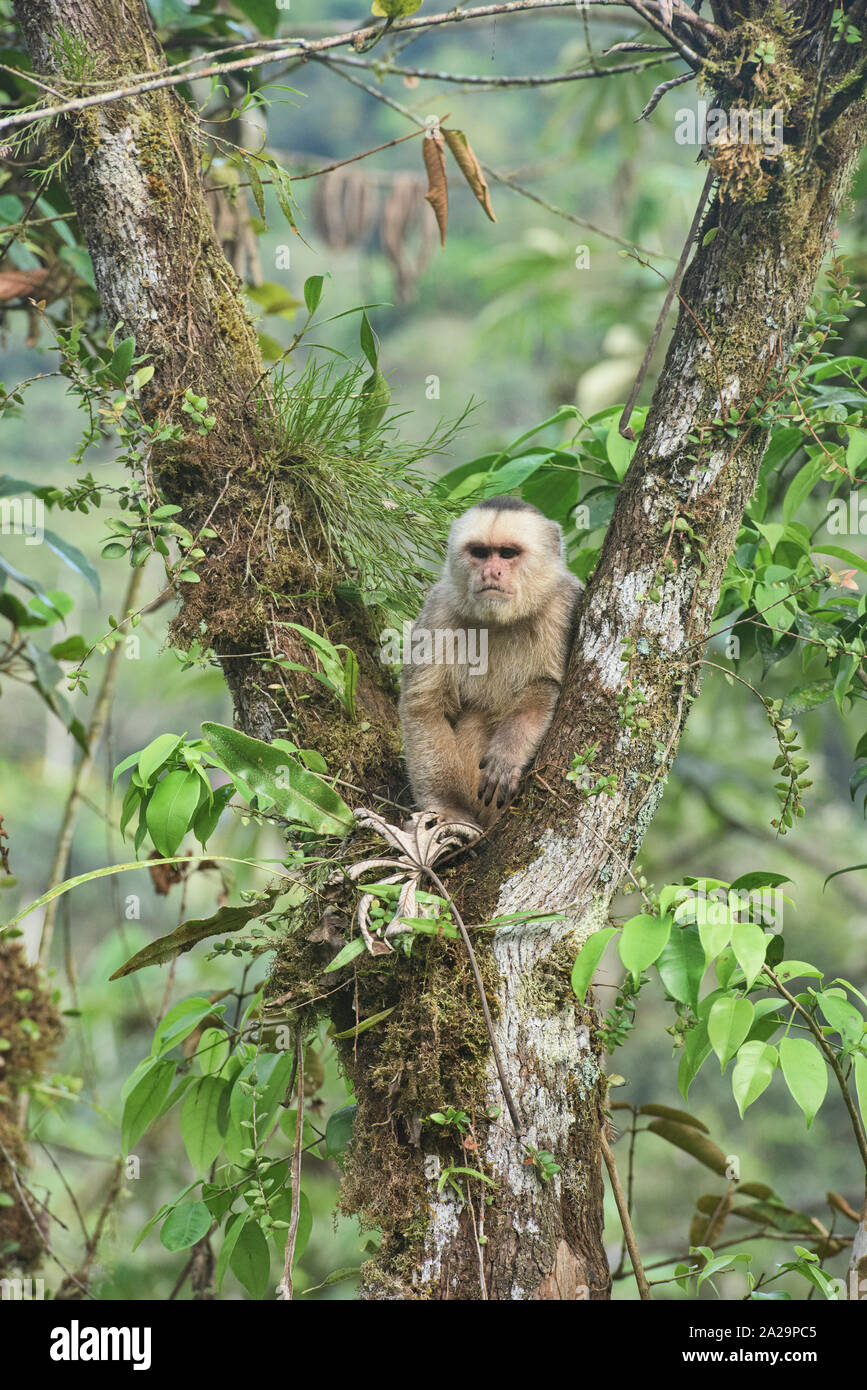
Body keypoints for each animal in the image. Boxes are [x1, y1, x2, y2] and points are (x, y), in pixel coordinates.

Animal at [400, 497, 583, 828]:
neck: (501, 621)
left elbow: (545, 686)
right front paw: (450, 807)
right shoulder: (440, 609)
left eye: (507, 554)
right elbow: (424, 705)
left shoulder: (562, 604)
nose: (491, 573)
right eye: (480, 553)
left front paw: (508, 753)